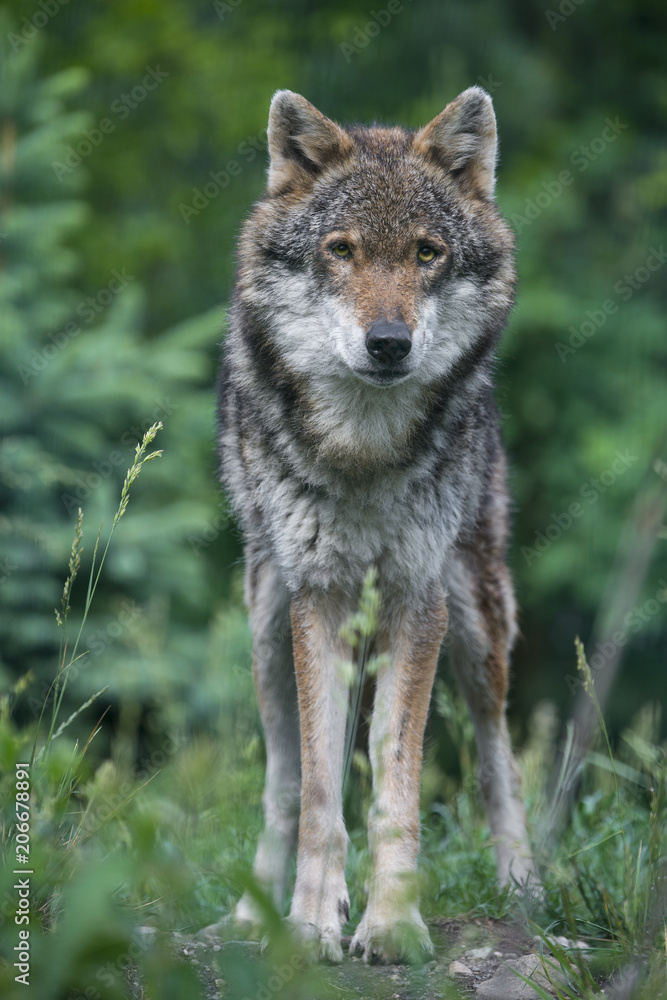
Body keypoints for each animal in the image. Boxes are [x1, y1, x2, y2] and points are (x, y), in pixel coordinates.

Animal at [217, 86, 536, 964]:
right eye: (342, 250)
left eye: (426, 253)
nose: (388, 343)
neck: (362, 451)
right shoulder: (319, 603)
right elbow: (322, 794)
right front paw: (307, 924)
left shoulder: (414, 603)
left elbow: (395, 786)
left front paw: (391, 925)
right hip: (265, 627)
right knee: (283, 779)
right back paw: (254, 914)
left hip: (478, 623)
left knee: (498, 757)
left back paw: (522, 885)